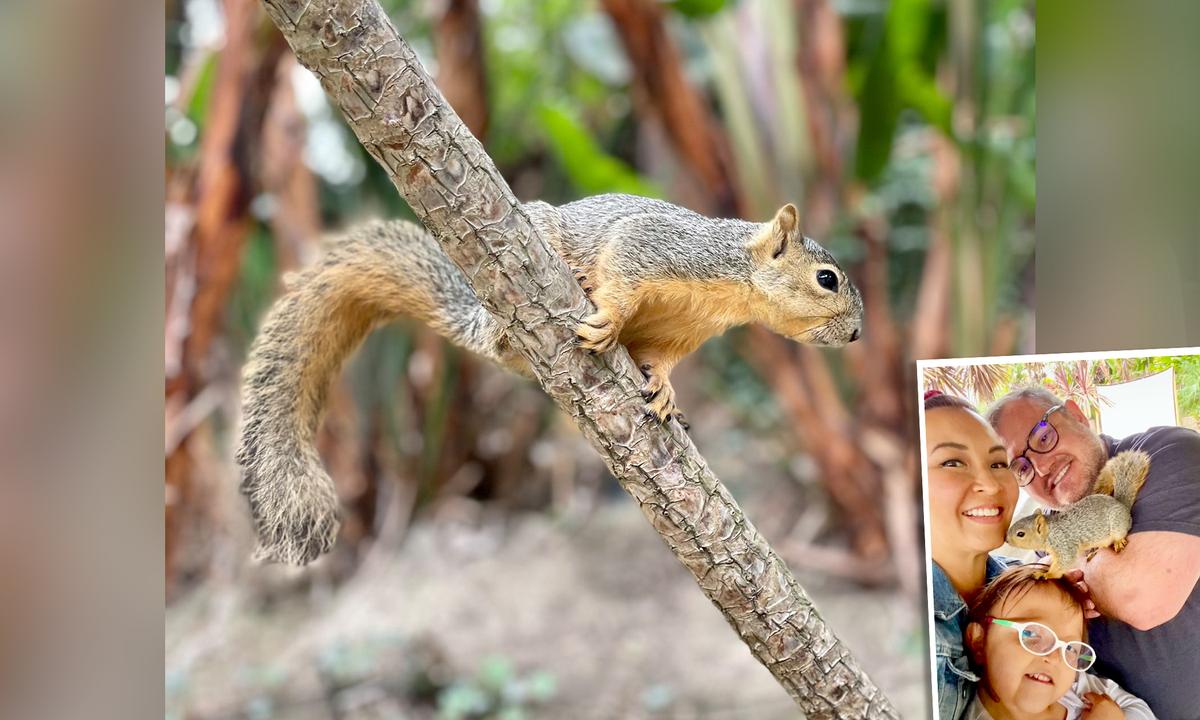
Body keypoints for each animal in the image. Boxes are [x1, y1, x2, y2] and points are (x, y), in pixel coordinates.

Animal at [237, 193, 863, 564]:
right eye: (827, 279)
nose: (858, 335)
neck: (732, 285)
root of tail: (479, 321)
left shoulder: (681, 334)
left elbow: (660, 359)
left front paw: (664, 390)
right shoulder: (654, 247)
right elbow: (622, 277)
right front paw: (607, 317)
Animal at [1005, 450, 1151, 579]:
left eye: (1020, 534)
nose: (1006, 539)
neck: (1049, 531)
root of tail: (1123, 506)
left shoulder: (1063, 543)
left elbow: (1065, 561)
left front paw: (1046, 574)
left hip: (1117, 523)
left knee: (1119, 533)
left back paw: (1118, 541)